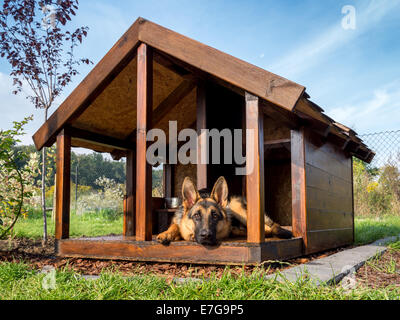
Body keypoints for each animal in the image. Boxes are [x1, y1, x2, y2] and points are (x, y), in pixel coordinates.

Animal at [156, 176, 290, 246]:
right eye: (196, 216)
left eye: (215, 216)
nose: (206, 235)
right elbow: (175, 226)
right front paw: (166, 234)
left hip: (235, 205)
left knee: (266, 229)